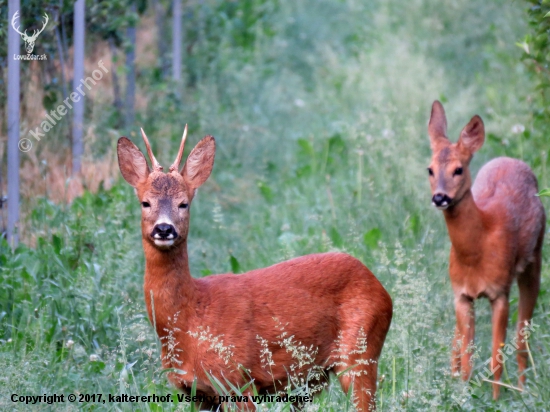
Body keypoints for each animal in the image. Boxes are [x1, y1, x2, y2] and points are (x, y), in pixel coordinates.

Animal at [117, 127, 392, 410]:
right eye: (145, 203)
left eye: (184, 203)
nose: (164, 228)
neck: (190, 317)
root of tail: (380, 287)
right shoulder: (197, 393)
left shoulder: (237, 379)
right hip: (309, 381)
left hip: (360, 351)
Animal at [430, 101, 544, 400]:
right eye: (429, 169)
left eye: (458, 169)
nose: (439, 197)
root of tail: (511, 159)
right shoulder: (461, 295)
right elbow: (467, 359)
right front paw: (463, 396)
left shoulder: (499, 292)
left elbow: (496, 359)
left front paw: (495, 400)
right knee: (456, 345)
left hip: (534, 261)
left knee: (522, 336)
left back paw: (522, 390)